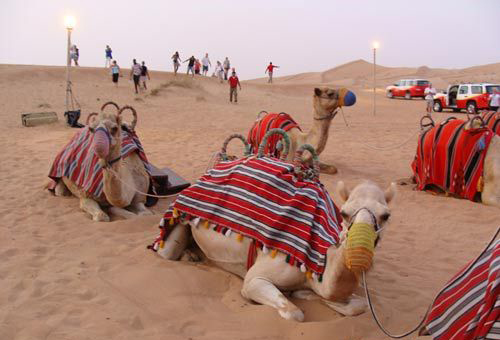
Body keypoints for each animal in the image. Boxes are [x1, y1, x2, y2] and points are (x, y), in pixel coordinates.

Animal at [156, 181, 394, 322]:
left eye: (386, 215)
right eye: (344, 213)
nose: (359, 251)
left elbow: (360, 305)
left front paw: (306, 294)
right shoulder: (255, 279)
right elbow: (294, 313)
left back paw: (193, 255)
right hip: (182, 216)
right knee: (167, 253)